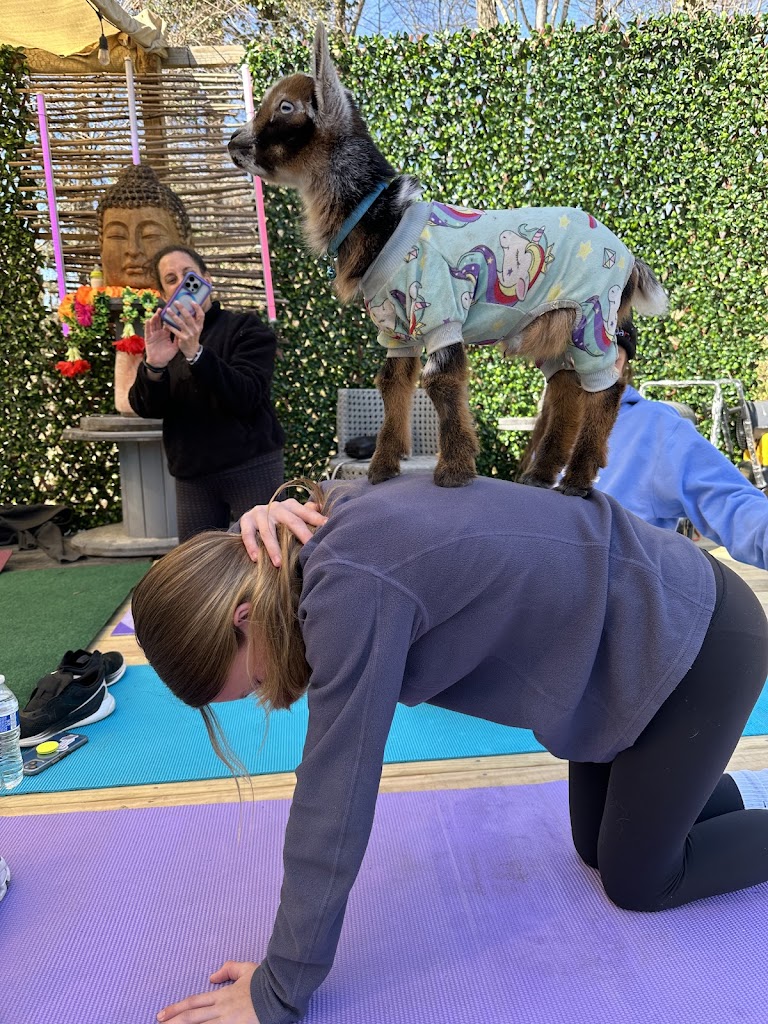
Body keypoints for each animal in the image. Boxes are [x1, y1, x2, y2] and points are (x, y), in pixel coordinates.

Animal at [228, 23, 669, 494]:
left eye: (285, 107)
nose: (233, 142)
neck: (381, 214)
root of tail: (630, 261)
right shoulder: (395, 328)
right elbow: (392, 384)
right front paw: (382, 470)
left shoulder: (440, 309)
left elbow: (439, 382)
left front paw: (454, 472)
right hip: (555, 326)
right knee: (566, 387)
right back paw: (540, 474)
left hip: (594, 316)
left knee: (606, 387)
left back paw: (579, 478)